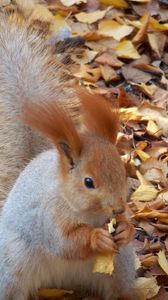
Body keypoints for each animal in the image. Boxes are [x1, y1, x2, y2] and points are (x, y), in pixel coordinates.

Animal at [0, 10, 143, 300]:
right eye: (88, 182)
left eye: (123, 171)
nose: (118, 208)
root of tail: (61, 282)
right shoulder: (48, 216)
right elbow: (65, 243)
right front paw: (96, 239)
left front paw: (125, 228)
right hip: (12, 265)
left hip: (121, 265)